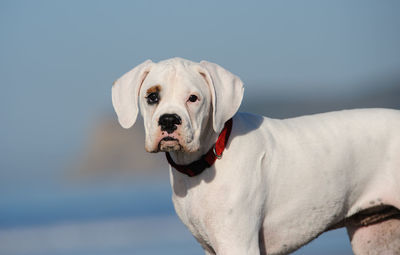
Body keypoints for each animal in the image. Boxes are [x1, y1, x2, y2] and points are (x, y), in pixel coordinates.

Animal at [111, 57, 400, 255]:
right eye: (151, 96)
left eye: (194, 98)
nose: (169, 120)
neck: (208, 159)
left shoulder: (237, 244)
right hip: (377, 238)